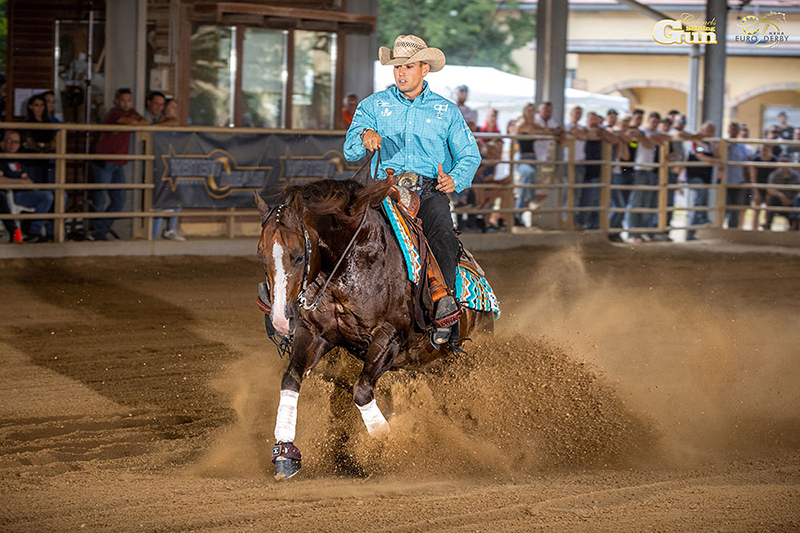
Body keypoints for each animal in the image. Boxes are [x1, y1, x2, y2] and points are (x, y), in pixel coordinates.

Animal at [255, 177, 494, 480]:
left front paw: (384, 449)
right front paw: (285, 454)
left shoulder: (388, 337)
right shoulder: (315, 334)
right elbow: (291, 380)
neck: (352, 261)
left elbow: (362, 391)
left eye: (298, 256)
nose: (280, 320)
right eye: (262, 255)